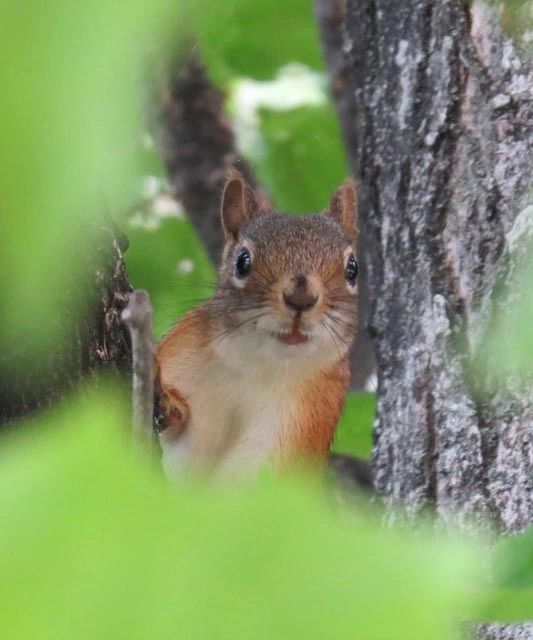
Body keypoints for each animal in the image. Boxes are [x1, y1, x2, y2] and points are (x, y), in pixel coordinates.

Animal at [155, 170, 358, 479]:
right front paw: (170, 404)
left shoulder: (301, 424)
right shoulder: (178, 352)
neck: (255, 365)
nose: (301, 298)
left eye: (353, 269)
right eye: (242, 261)